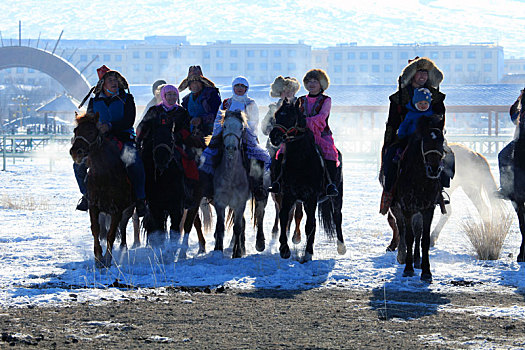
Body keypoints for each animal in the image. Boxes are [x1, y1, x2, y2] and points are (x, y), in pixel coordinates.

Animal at [69, 112, 134, 268]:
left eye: (91, 131)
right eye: (76, 131)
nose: (76, 152)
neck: (104, 175)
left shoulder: (117, 210)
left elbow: (112, 233)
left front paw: (108, 259)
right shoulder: (94, 206)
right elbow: (96, 230)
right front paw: (98, 257)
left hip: (128, 210)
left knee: (122, 227)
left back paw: (123, 248)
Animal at [214, 110, 253, 258]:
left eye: (241, 128)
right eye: (224, 126)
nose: (231, 148)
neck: (231, 177)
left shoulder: (240, 203)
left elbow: (237, 228)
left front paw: (237, 253)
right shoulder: (219, 202)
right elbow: (220, 226)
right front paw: (217, 250)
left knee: (241, 224)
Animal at [268, 98, 346, 262]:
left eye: (291, 116)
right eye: (276, 115)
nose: (274, 137)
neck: (301, 161)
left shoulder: (311, 198)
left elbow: (310, 225)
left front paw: (308, 253)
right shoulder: (288, 195)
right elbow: (284, 217)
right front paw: (284, 249)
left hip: (337, 195)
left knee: (337, 216)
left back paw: (341, 247)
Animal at [386, 115, 444, 282]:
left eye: (442, 140)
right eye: (425, 140)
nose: (434, 169)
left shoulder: (428, 209)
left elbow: (423, 239)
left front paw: (426, 271)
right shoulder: (407, 208)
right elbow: (408, 236)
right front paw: (408, 268)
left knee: (417, 232)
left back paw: (417, 260)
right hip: (397, 208)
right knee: (402, 228)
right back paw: (402, 255)